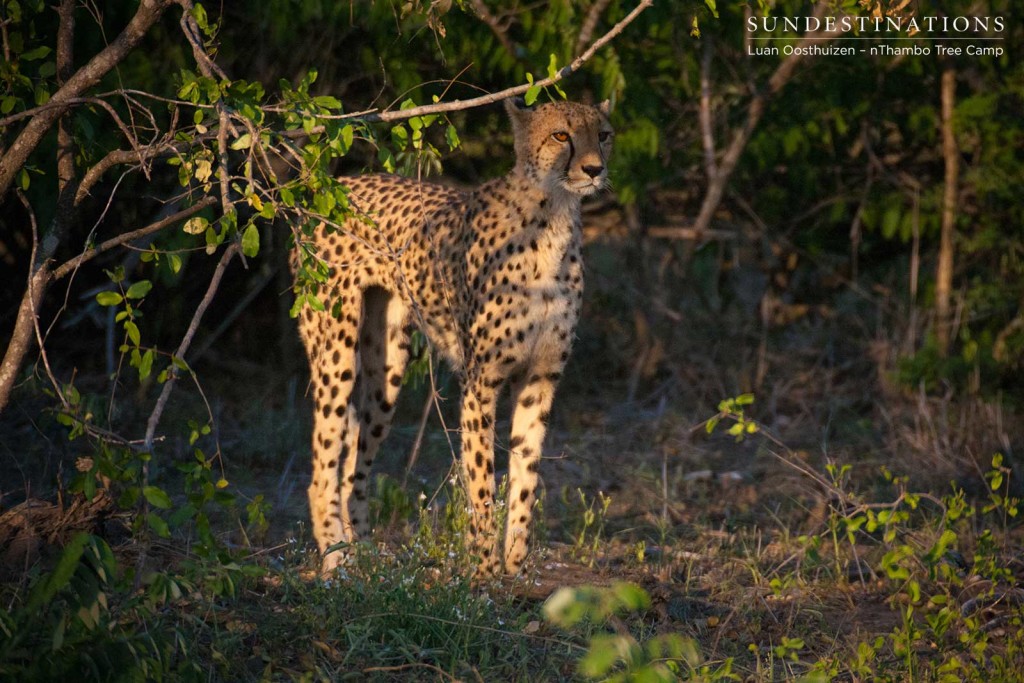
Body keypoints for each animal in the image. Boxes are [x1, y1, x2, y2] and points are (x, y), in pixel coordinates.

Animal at [296, 97, 614, 577]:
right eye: (562, 135)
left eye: (604, 135)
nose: (595, 169)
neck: (552, 218)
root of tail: (338, 187)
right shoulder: (481, 380)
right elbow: (481, 479)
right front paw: (482, 570)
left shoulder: (540, 378)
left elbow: (526, 474)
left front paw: (514, 565)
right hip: (336, 354)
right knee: (322, 469)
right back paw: (337, 563)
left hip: (388, 369)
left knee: (354, 468)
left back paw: (366, 557)